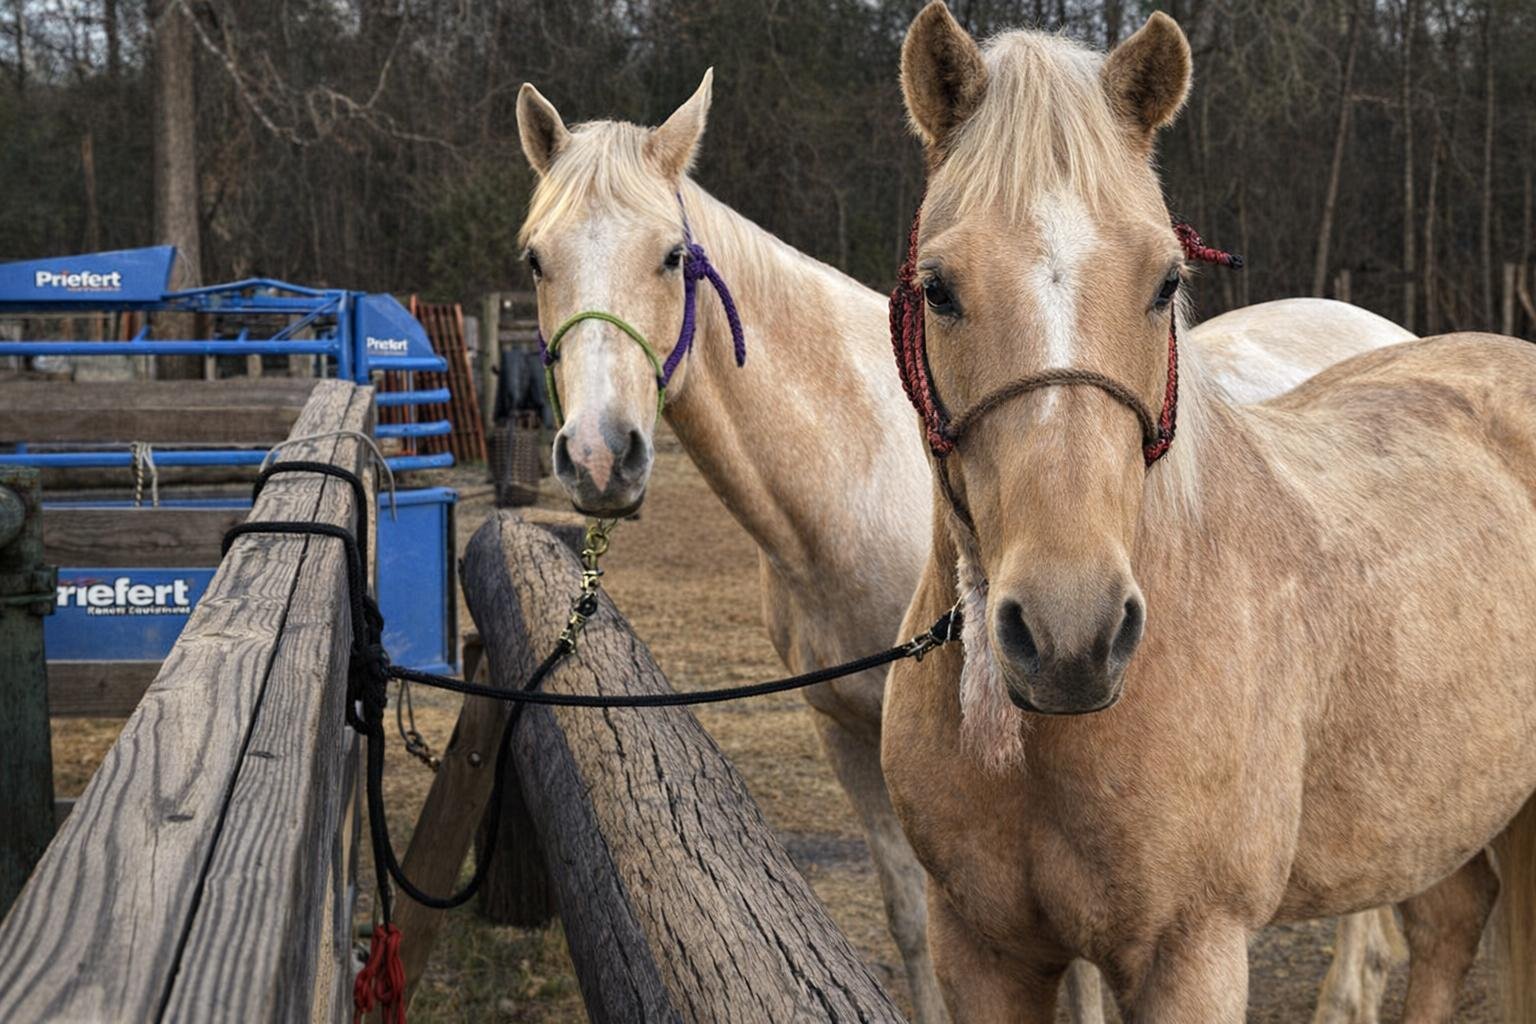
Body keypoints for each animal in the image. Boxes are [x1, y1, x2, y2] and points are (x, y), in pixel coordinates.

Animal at [514, 73, 1418, 1023]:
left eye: (670, 258)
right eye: (536, 260)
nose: (599, 457)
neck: (854, 471)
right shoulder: (848, 738)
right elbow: (909, 918)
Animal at [883, 4, 1536, 1021]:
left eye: (1165, 282)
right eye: (939, 288)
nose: (1071, 634)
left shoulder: (1192, 950)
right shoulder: (981, 949)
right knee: (1448, 925)